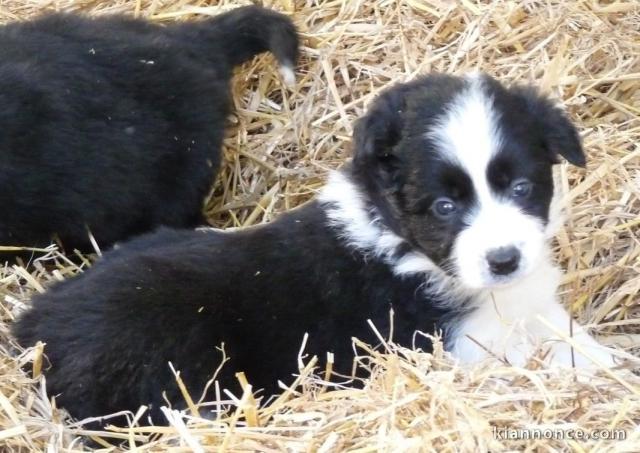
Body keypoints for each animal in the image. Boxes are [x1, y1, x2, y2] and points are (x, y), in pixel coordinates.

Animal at [13, 72, 616, 422]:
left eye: (522, 188)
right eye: (445, 207)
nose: (504, 260)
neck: (399, 239)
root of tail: (37, 319)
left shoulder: (530, 303)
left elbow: (571, 337)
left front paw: (609, 363)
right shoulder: (461, 343)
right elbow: (531, 362)